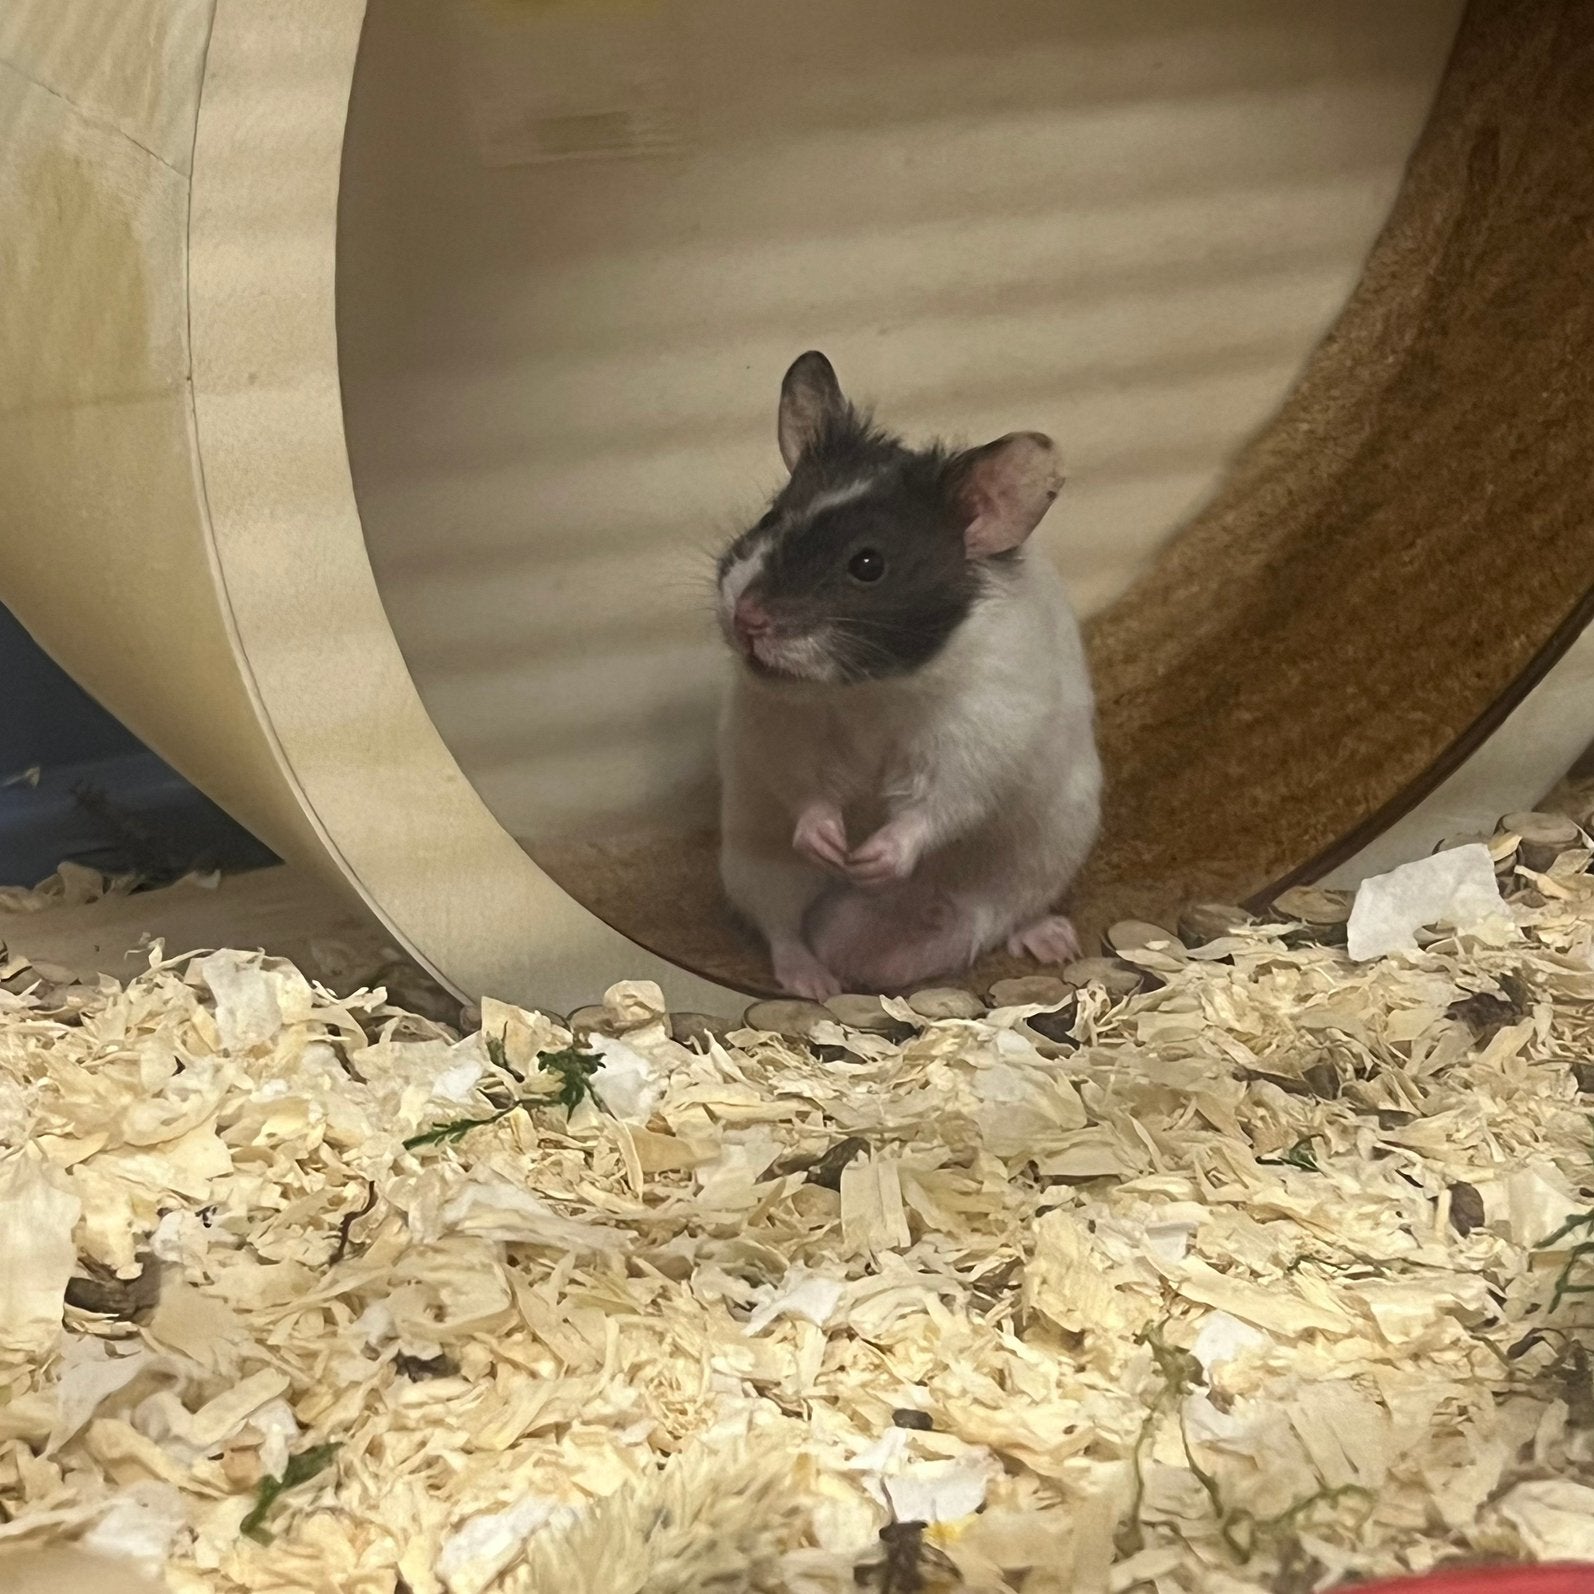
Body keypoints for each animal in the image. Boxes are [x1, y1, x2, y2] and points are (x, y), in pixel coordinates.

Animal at [715, 351, 1101, 999]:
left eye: (868, 564)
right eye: (771, 519)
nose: (747, 619)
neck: (874, 690)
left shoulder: (980, 741)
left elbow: (935, 807)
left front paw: (871, 861)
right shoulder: (778, 733)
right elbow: (807, 793)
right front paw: (833, 846)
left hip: (1046, 852)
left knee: (1007, 916)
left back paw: (1053, 943)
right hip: (754, 861)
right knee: (783, 929)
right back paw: (816, 982)